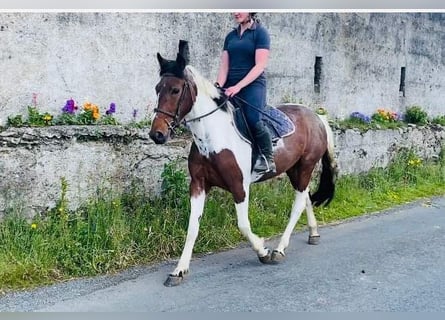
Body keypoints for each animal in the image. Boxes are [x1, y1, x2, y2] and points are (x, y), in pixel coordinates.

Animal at [149, 48, 336, 288]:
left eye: (175, 90)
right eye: (157, 88)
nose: (157, 134)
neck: (213, 137)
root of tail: (317, 116)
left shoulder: (240, 186)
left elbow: (243, 225)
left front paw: (263, 250)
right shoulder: (198, 185)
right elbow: (192, 228)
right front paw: (178, 271)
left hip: (306, 165)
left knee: (297, 205)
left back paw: (279, 249)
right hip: (294, 169)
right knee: (305, 199)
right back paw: (313, 234)